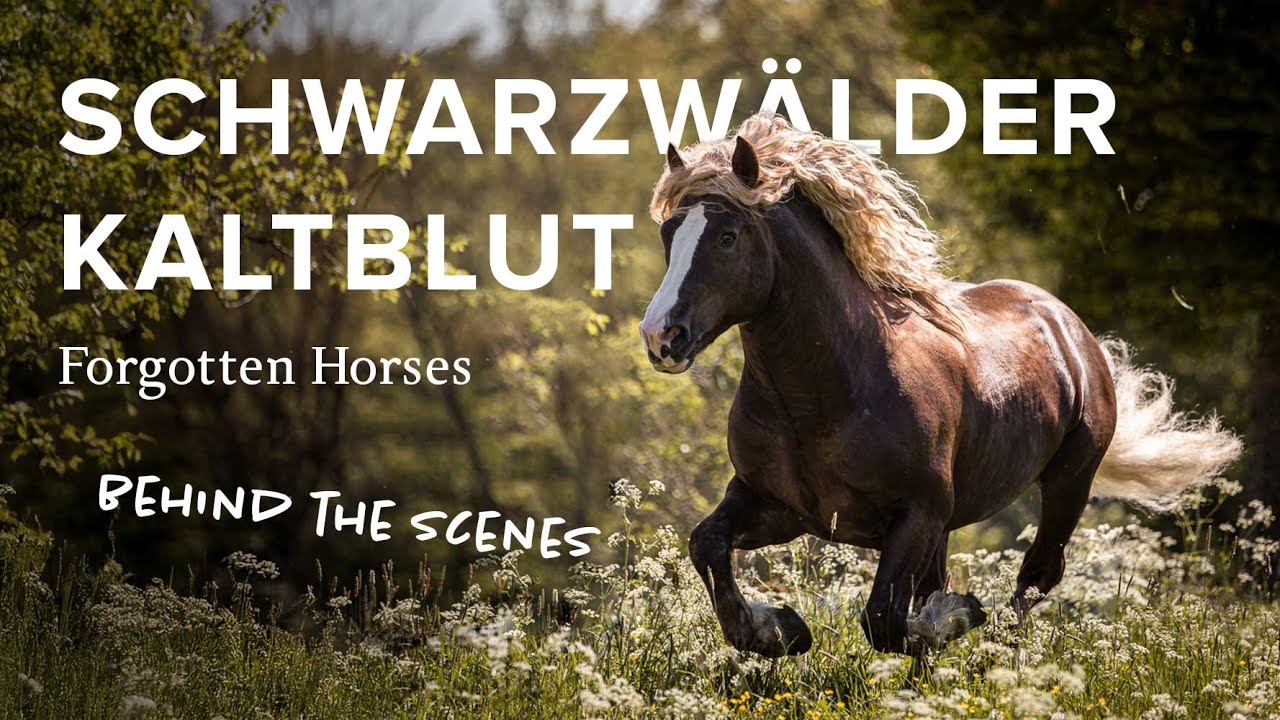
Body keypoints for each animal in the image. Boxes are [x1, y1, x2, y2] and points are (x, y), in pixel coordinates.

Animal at [637, 113, 1243, 657]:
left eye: (727, 237)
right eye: (669, 233)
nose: (661, 335)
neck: (823, 398)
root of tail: (1071, 330)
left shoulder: (915, 516)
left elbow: (884, 620)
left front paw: (953, 618)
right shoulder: (777, 505)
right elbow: (706, 545)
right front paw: (778, 629)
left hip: (1068, 482)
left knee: (1035, 579)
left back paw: (994, 649)